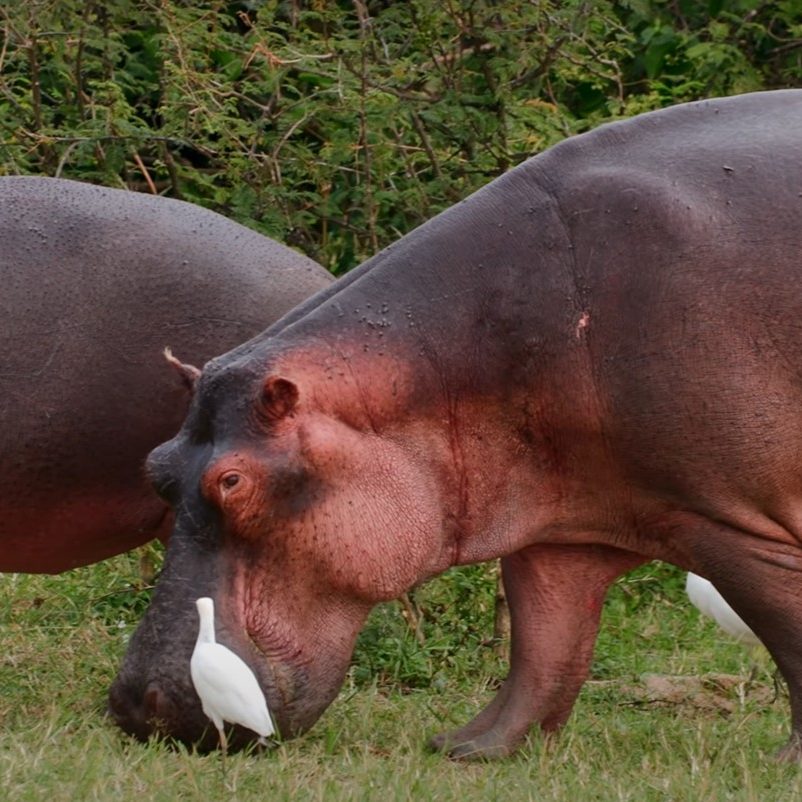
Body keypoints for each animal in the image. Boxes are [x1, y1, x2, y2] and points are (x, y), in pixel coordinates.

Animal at [109, 92, 800, 756]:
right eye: (156, 465)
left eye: (232, 482)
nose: (134, 705)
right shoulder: (562, 519)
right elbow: (544, 646)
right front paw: (469, 748)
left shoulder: (734, 526)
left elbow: (789, 633)